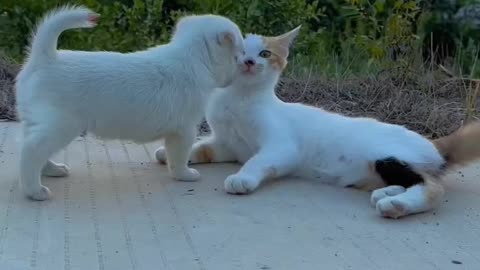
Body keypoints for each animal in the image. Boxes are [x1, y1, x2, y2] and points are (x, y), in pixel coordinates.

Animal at [15, 5, 244, 200]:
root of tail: (45, 58)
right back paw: (35, 190)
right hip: (61, 126)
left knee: (35, 148)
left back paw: (52, 170)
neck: (193, 57)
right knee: (31, 151)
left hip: (36, 122)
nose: (242, 67)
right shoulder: (184, 131)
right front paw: (185, 174)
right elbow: (178, 157)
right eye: (237, 56)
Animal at [155, 26, 480, 218]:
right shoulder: (227, 145)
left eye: (264, 53)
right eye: (240, 52)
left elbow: (259, 160)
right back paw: (386, 193)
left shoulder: (282, 148)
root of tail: (433, 142)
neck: (239, 99)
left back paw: (396, 205)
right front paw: (170, 154)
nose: (248, 62)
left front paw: (242, 178)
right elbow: (202, 147)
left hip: (387, 157)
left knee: (433, 187)